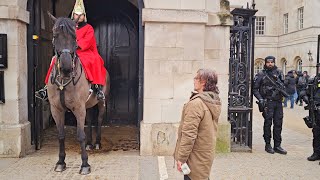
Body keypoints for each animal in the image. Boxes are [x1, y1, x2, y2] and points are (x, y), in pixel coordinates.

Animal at [46, 14, 110, 175]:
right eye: (55, 35)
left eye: (74, 37)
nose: (66, 68)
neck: (63, 81)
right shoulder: (56, 109)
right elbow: (61, 134)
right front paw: (61, 162)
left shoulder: (78, 108)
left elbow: (80, 135)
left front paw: (85, 164)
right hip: (87, 105)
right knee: (90, 120)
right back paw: (89, 143)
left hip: (101, 103)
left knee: (98, 119)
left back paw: (97, 143)